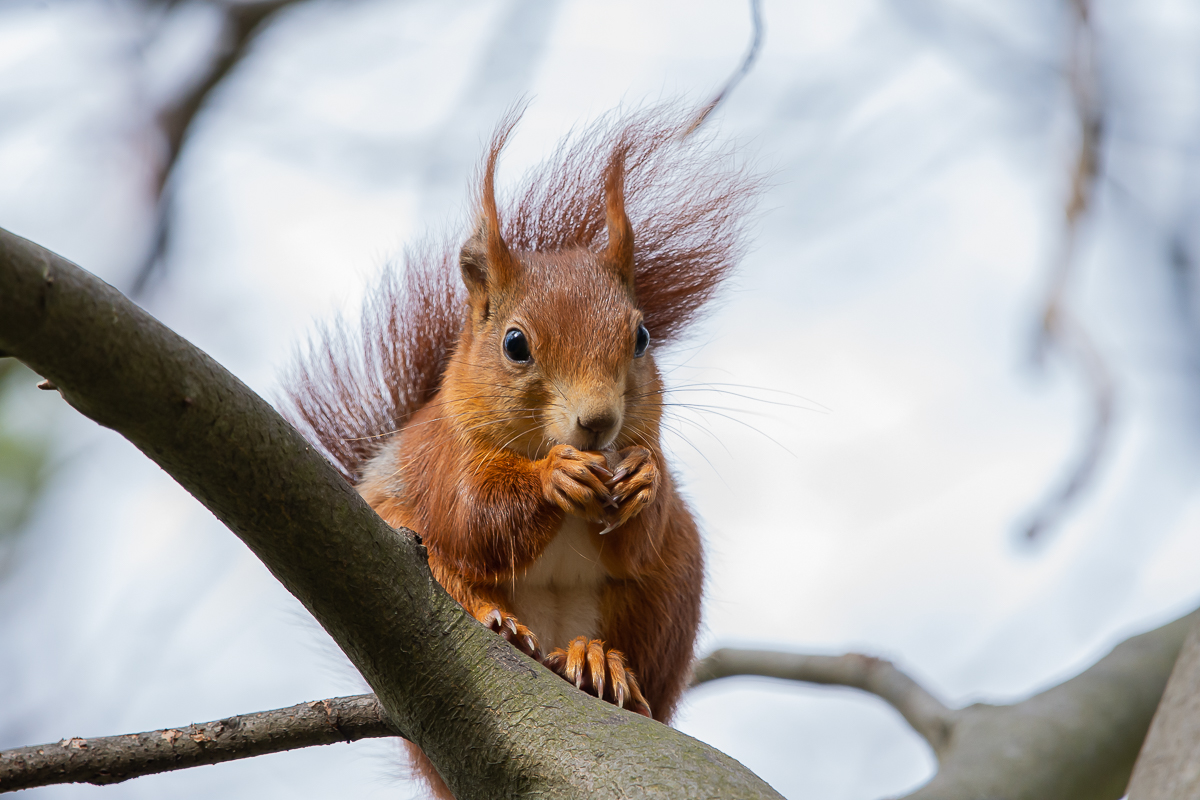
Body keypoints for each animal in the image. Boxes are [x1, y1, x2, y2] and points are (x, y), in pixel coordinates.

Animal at [285, 104, 753, 796]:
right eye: (515, 344)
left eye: (641, 336)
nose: (598, 423)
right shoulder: (444, 456)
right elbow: (472, 515)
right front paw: (551, 479)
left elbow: (640, 529)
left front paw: (646, 479)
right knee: (449, 567)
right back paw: (496, 621)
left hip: (670, 587)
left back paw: (597, 659)